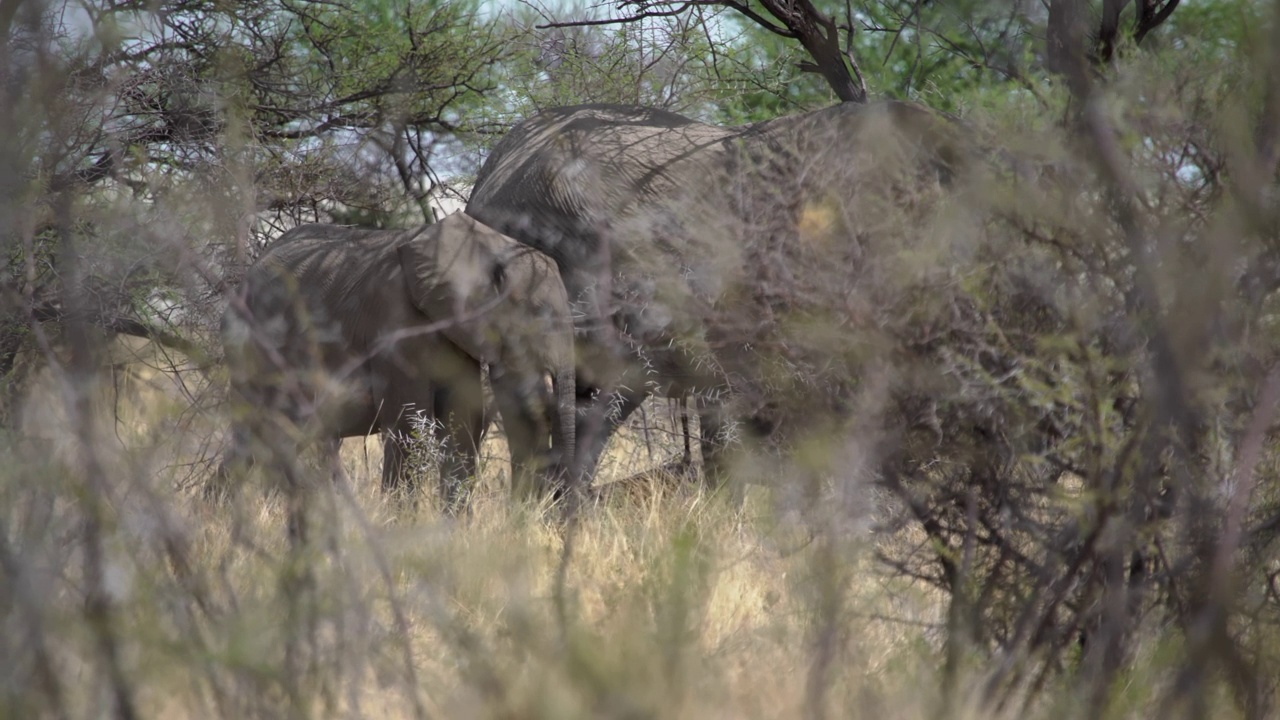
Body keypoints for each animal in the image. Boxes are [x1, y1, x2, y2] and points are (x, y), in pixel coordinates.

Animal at [217, 210, 578, 507]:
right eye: (541, 314)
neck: (492, 246)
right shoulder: (395, 320)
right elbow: (409, 421)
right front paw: (401, 523)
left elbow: (463, 420)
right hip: (249, 346)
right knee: (259, 432)